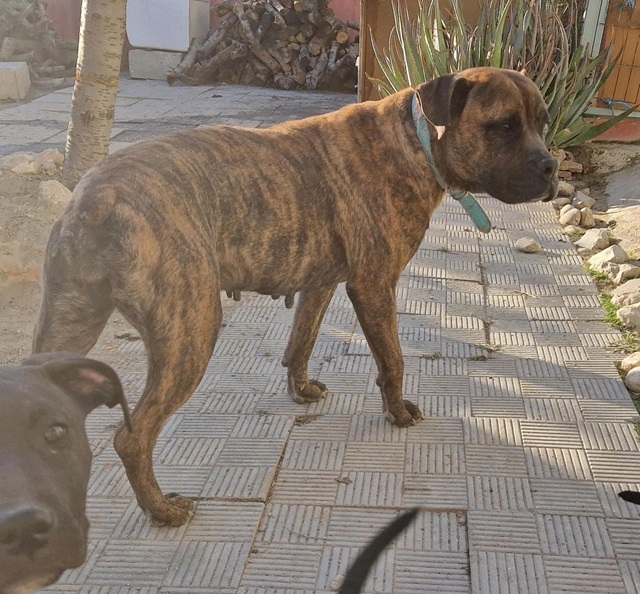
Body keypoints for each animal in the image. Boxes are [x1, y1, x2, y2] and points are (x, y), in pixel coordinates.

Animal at [33, 67, 558, 526]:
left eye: (543, 122)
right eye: (503, 127)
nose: (552, 167)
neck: (416, 141)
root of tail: (95, 197)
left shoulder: (319, 284)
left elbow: (300, 342)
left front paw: (300, 390)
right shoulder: (373, 285)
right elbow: (392, 360)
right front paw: (397, 412)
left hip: (68, 324)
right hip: (191, 332)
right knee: (132, 437)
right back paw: (161, 510)